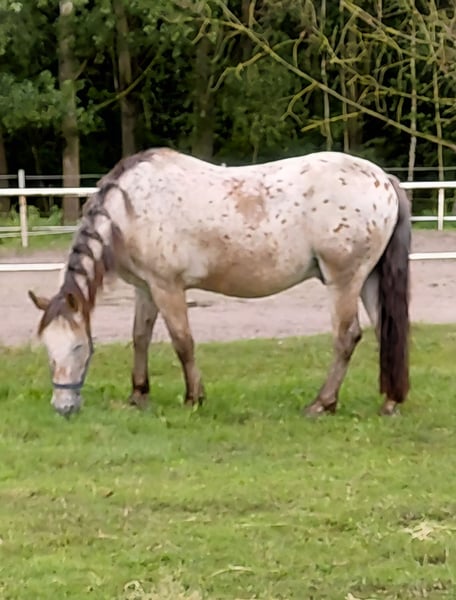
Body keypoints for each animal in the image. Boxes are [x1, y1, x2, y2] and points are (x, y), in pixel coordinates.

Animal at [29, 148, 411, 418]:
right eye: (47, 348)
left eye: (79, 347)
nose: (63, 407)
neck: (129, 207)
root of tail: (382, 178)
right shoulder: (146, 287)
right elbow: (140, 337)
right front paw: (138, 395)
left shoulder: (168, 287)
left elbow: (183, 342)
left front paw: (194, 398)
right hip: (368, 279)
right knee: (384, 330)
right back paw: (390, 402)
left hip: (343, 280)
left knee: (347, 336)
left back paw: (322, 403)